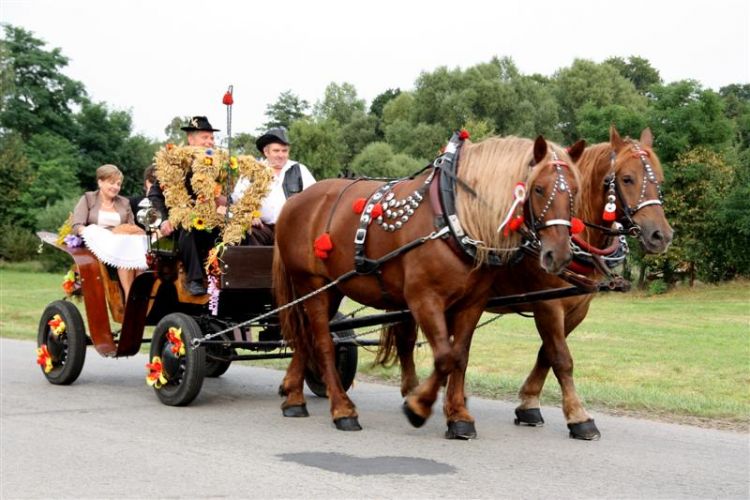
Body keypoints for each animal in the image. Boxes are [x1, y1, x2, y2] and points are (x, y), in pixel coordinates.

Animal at [276, 135, 588, 436]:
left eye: (575, 190)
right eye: (538, 189)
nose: (559, 255)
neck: (455, 218)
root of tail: (295, 202)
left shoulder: (472, 303)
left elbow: (459, 356)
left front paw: (458, 416)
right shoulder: (424, 299)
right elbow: (445, 357)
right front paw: (418, 406)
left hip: (332, 289)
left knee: (305, 338)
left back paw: (294, 398)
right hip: (311, 284)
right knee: (323, 343)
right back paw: (342, 409)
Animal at [388, 127, 676, 440]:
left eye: (659, 180)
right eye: (627, 178)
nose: (661, 235)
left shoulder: (577, 309)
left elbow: (546, 354)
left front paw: (528, 403)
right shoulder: (547, 304)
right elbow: (561, 357)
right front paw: (578, 416)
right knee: (405, 339)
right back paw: (412, 392)